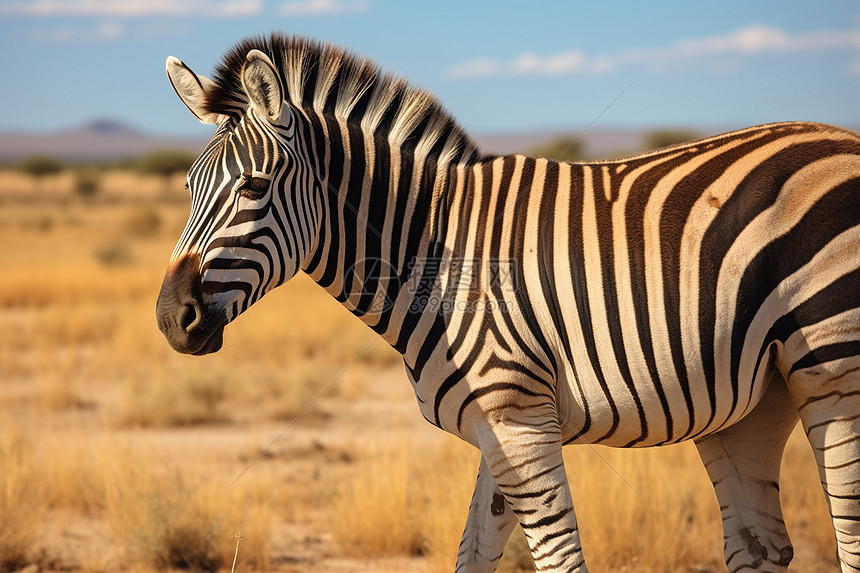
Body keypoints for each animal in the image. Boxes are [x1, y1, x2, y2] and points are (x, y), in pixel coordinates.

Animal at [158, 33, 860, 568]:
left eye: (254, 186)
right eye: (188, 186)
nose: (171, 318)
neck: (435, 254)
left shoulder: (522, 422)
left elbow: (557, 557)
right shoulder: (492, 424)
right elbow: (473, 552)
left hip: (834, 368)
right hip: (752, 403)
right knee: (760, 543)